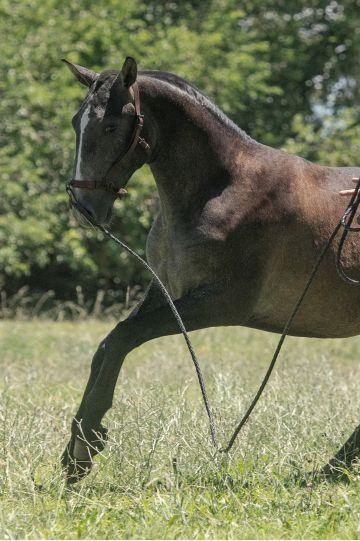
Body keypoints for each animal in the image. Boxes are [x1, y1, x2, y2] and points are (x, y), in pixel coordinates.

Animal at [61, 58, 360, 480]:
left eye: (110, 127)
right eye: (76, 122)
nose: (84, 208)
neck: (221, 188)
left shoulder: (221, 304)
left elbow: (123, 338)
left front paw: (85, 445)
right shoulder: (167, 292)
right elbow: (108, 343)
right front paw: (76, 447)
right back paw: (334, 467)